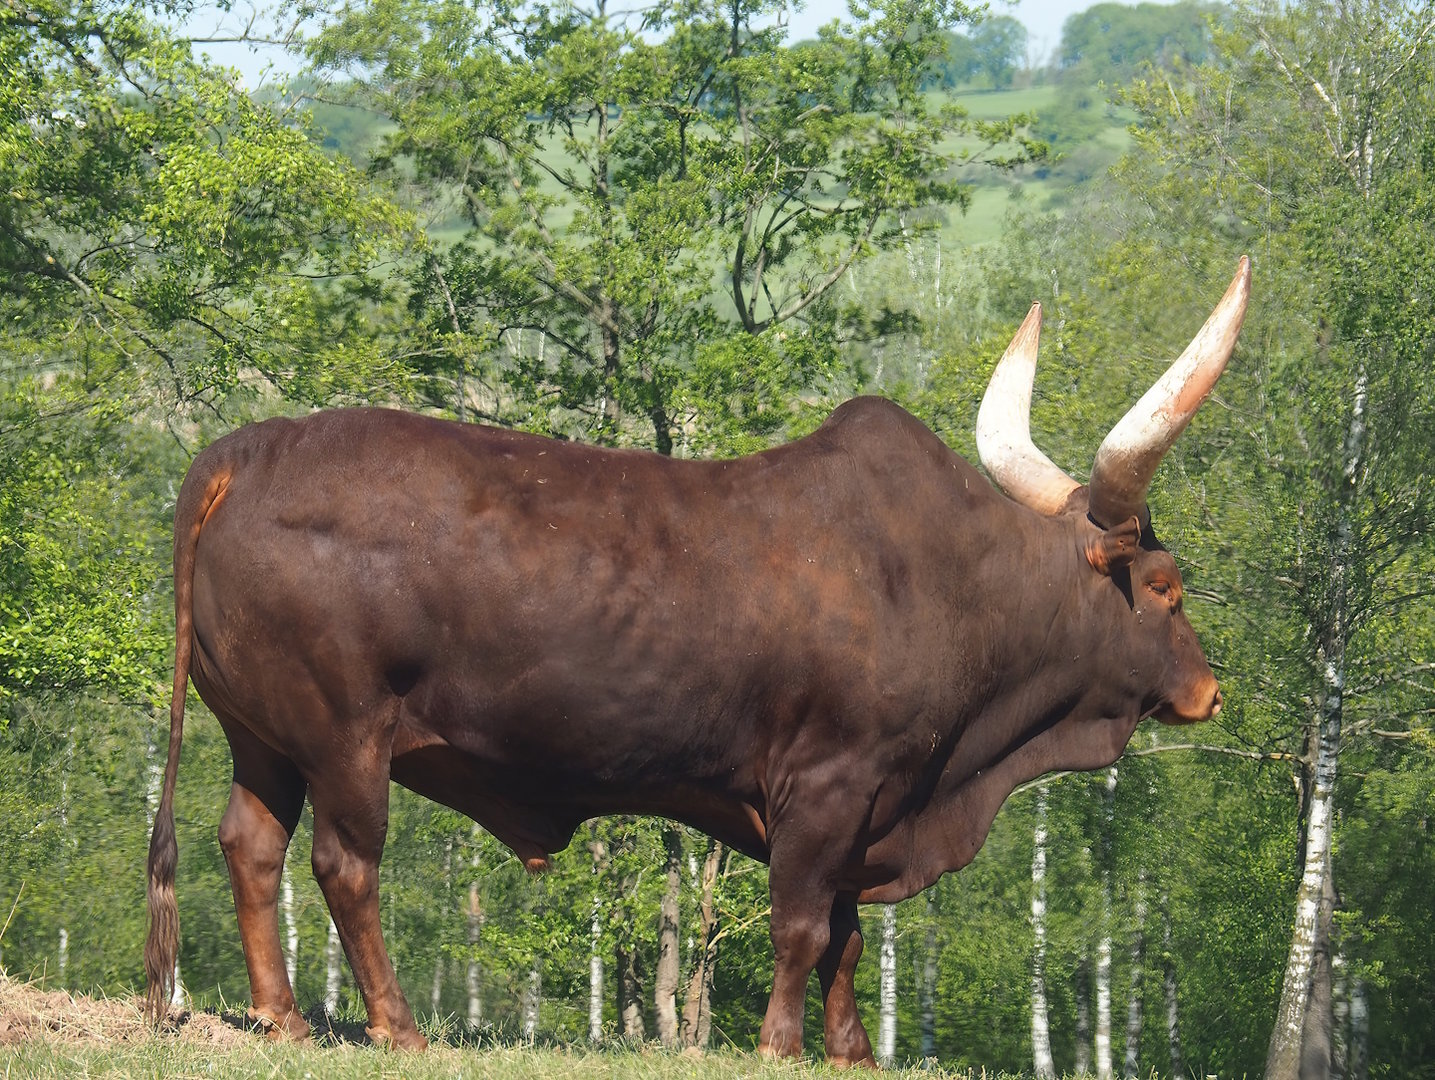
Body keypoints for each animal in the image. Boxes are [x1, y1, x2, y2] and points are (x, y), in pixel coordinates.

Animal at [146, 258, 1249, 1065]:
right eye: (1165, 587)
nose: (1207, 691)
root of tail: (244, 451)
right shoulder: (828, 783)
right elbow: (805, 924)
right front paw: (780, 1044)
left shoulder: (870, 803)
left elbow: (848, 931)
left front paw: (850, 1050)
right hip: (343, 738)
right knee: (344, 865)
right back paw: (397, 1025)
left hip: (263, 737)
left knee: (249, 845)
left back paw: (283, 1016)